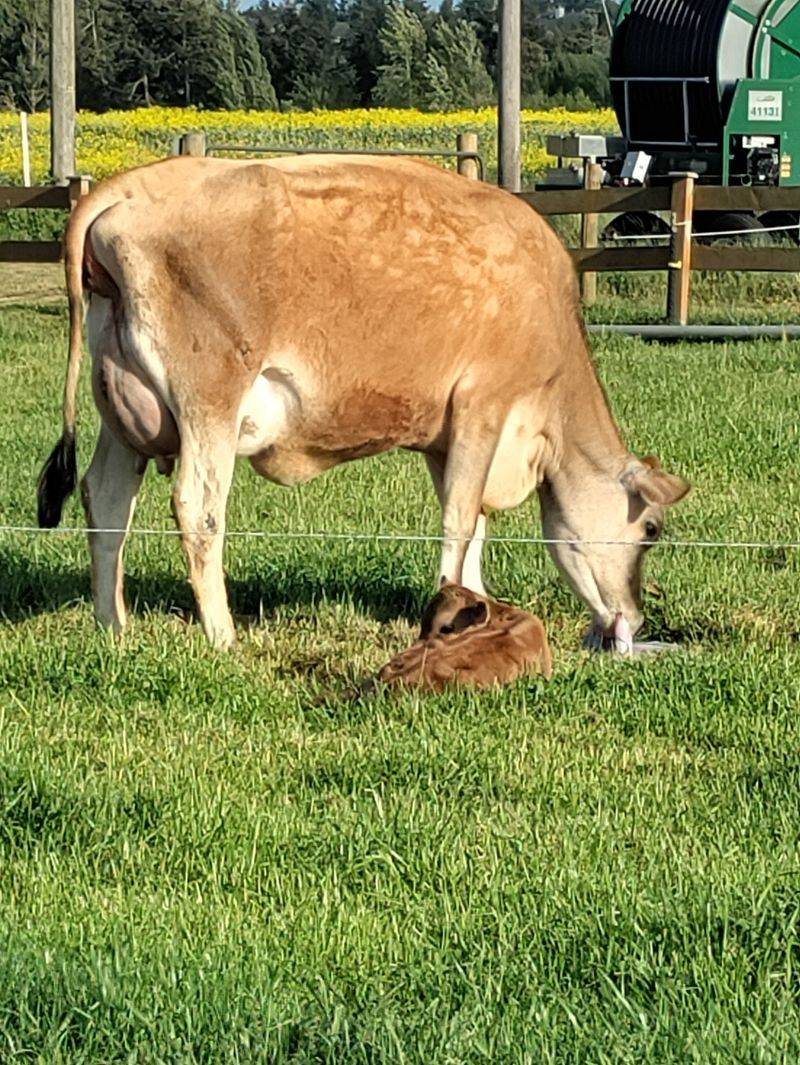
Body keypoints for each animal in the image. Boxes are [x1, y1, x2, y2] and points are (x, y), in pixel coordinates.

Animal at [37, 155, 690, 650]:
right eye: (651, 529)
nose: (635, 620)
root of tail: (129, 185)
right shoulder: (486, 402)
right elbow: (459, 522)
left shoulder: (445, 434)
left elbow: (473, 523)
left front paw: (475, 603)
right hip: (210, 399)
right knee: (198, 506)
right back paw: (223, 636)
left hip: (122, 411)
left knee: (106, 499)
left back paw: (112, 625)